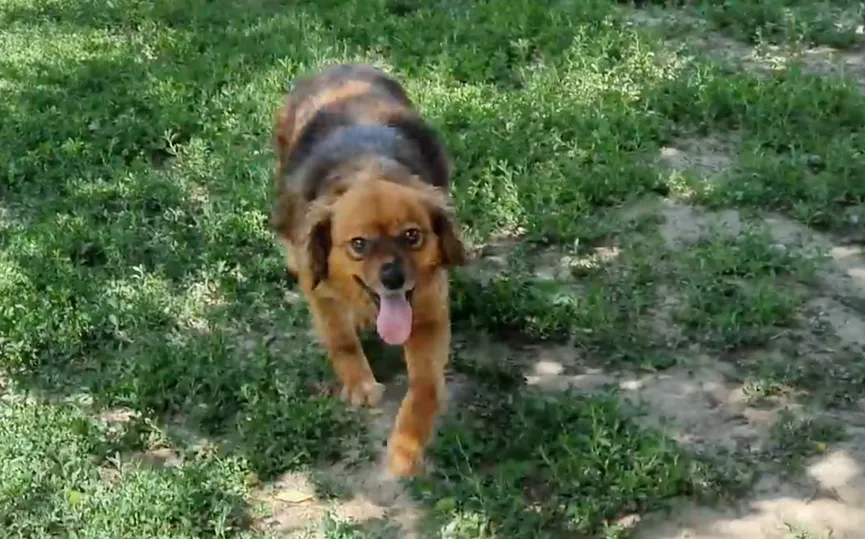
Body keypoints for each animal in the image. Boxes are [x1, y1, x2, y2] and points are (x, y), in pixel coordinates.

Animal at [270, 64, 470, 476]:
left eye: (412, 236)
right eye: (359, 244)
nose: (393, 278)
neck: (366, 169)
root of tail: (338, 65)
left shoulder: (427, 313)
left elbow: (425, 387)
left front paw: (407, 446)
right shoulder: (318, 288)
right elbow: (340, 339)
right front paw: (359, 382)